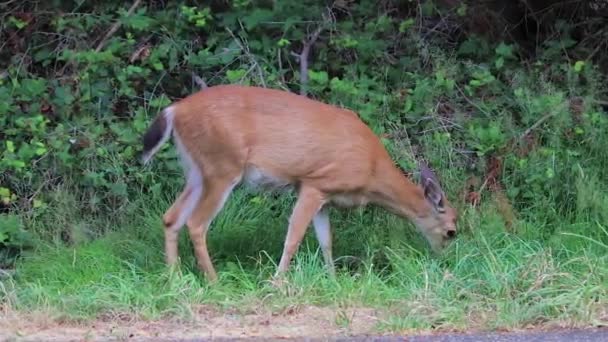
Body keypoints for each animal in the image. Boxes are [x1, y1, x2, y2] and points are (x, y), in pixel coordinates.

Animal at [141, 84, 456, 282]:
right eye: (451, 231)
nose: (443, 259)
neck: (372, 172)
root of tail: (174, 111)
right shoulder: (314, 183)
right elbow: (293, 237)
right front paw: (278, 282)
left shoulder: (323, 193)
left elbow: (326, 240)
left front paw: (333, 279)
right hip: (222, 167)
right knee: (196, 223)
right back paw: (214, 280)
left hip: (196, 170)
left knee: (171, 217)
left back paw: (175, 278)